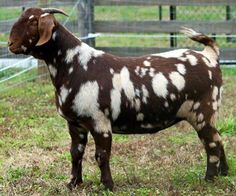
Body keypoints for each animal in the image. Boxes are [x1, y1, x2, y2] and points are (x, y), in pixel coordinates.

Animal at [9, 7, 229, 190]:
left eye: (32, 22)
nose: (10, 44)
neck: (77, 66)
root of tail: (209, 56)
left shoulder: (100, 121)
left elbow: (101, 155)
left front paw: (107, 186)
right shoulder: (75, 123)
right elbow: (75, 153)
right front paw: (73, 183)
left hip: (203, 111)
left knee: (212, 143)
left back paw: (209, 179)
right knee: (219, 138)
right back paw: (225, 173)